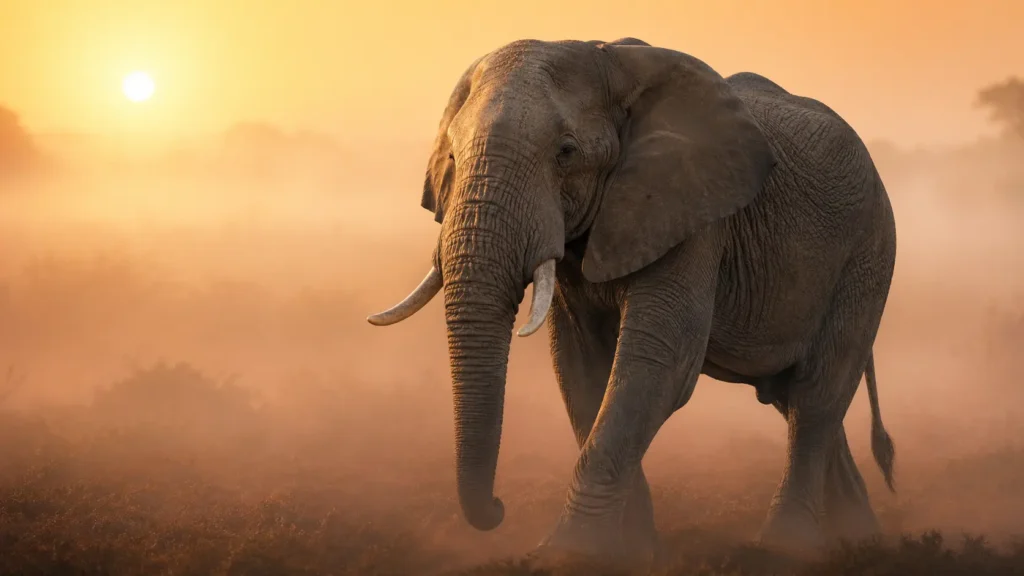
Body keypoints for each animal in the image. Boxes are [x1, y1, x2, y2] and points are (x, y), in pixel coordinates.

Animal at [367, 37, 898, 565]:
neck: (608, 60)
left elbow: (658, 364)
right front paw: (632, 553)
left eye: (565, 152)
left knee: (816, 396)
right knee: (797, 400)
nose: (498, 508)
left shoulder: (692, 213)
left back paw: (785, 548)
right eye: (451, 158)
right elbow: (580, 368)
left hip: (868, 255)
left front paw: (566, 554)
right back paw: (860, 539)